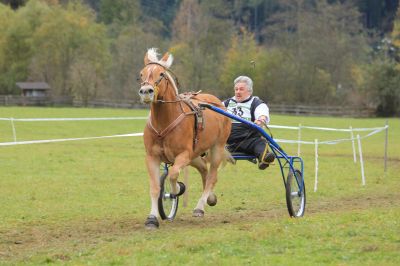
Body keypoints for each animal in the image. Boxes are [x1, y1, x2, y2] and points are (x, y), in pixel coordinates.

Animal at [138, 48, 231, 229]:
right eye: (141, 74)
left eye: (161, 74)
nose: (146, 91)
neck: (164, 123)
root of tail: (217, 103)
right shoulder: (151, 157)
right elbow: (155, 187)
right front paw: (152, 218)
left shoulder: (183, 155)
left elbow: (173, 174)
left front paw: (175, 191)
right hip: (195, 156)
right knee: (204, 171)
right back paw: (210, 198)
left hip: (216, 148)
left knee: (212, 176)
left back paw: (200, 206)